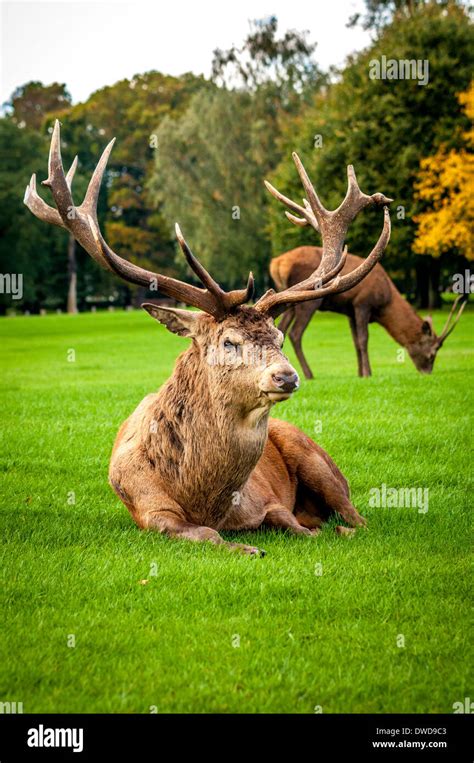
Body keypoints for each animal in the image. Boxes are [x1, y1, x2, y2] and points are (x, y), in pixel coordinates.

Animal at [24, 124, 390, 556]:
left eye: (279, 337)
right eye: (229, 342)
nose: (286, 377)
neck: (206, 500)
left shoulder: (266, 499)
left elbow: (290, 523)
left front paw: (302, 534)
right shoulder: (148, 509)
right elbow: (198, 533)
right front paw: (247, 548)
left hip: (315, 458)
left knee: (357, 516)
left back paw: (342, 525)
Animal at [266, 184, 466, 380]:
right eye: (432, 353)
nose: (427, 372)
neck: (385, 301)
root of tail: (276, 264)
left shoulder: (350, 310)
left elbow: (355, 341)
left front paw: (360, 373)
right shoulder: (363, 303)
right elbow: (364, 339)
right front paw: (368, 373)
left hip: (290, 299)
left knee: (282, 329)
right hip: (310, 302)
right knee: (295, 333)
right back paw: (309, 375)